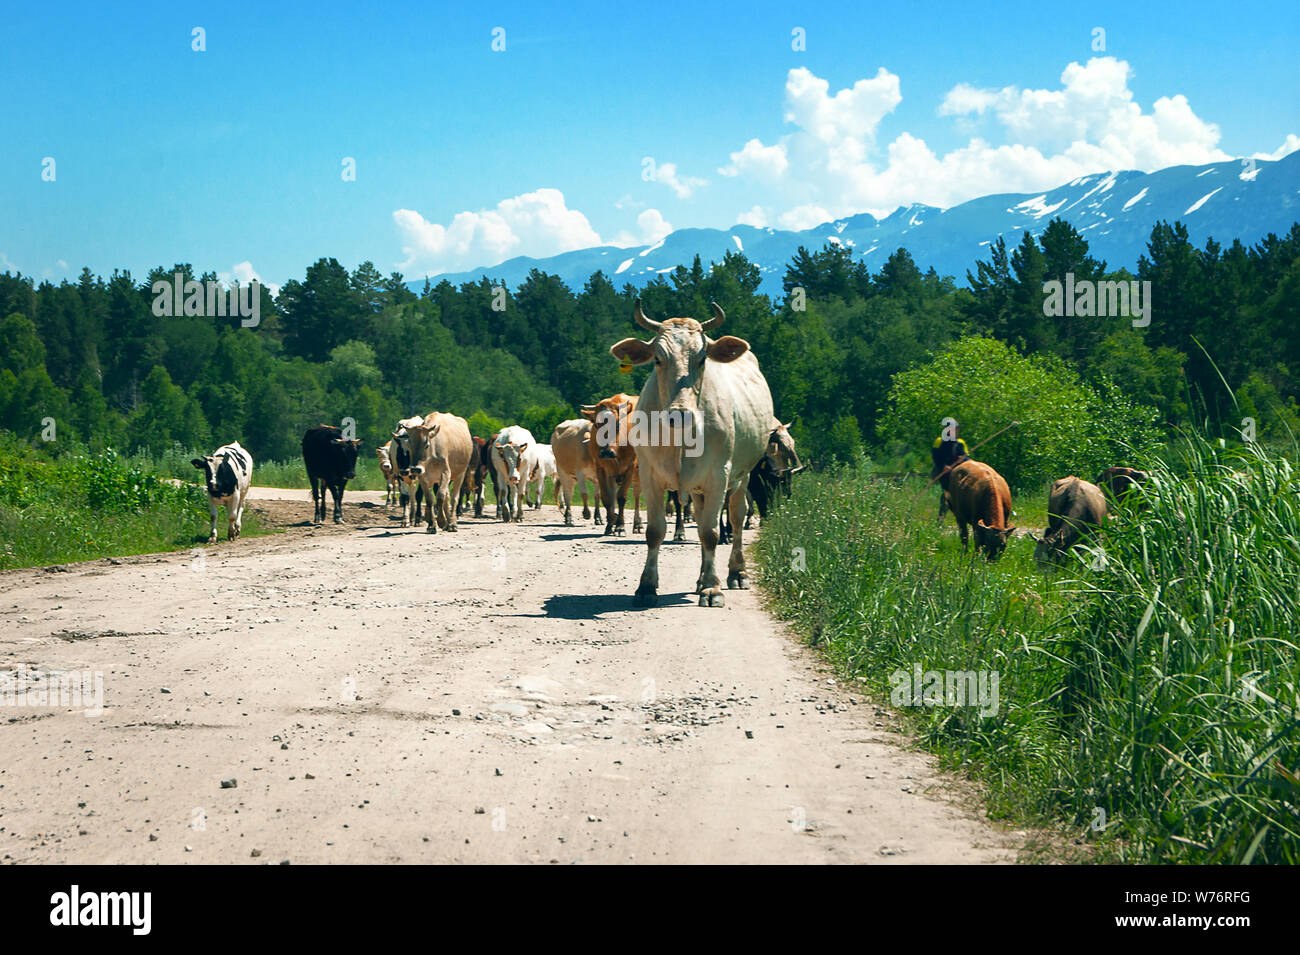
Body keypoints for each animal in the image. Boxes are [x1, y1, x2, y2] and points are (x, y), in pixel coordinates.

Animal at [403, 407, 475, 535]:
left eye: (426, 444)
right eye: (409, 444)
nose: (415, 468)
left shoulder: (446, 473)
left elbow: (440, 496)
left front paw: (441, 521)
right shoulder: (423, 477)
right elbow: (430, 499)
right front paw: (432, 525)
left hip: (460, 474)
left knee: (454, 497)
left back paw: (452, 524)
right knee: (447, 497)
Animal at [582, 389, 642, 537]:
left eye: (617, 425)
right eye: (596, 424)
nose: (606, 452)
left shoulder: (630, 467)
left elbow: (622, 497)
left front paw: (620, 527)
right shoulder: (600, 468)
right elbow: (607, 497)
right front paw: (610, 525)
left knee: (637, 495)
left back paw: (637, 524)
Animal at [608, 298, 769, 608]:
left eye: (703, 358)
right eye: (658, 359)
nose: (680, 414)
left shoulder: (719, 474)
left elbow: (711, 532)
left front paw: (712, 589)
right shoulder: (650, 474)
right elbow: (655, 531)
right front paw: (646, 586)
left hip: (741, 476)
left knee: (736, 518)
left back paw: (736, 573)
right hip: (697, 487)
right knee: (702, 513)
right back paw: (700, 579)